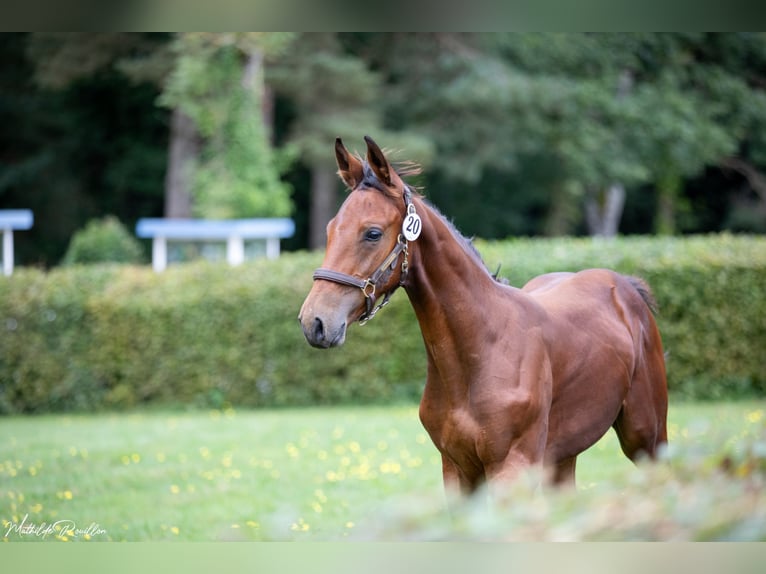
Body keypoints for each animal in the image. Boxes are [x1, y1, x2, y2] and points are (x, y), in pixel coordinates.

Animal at [296, 137, 668, 498]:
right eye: (330, 230)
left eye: (372, 233)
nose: (315, 322)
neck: (479, 349)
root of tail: (625, 286)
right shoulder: (457, 468)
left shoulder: (512, 467)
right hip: (564, 455)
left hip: (646, 438)